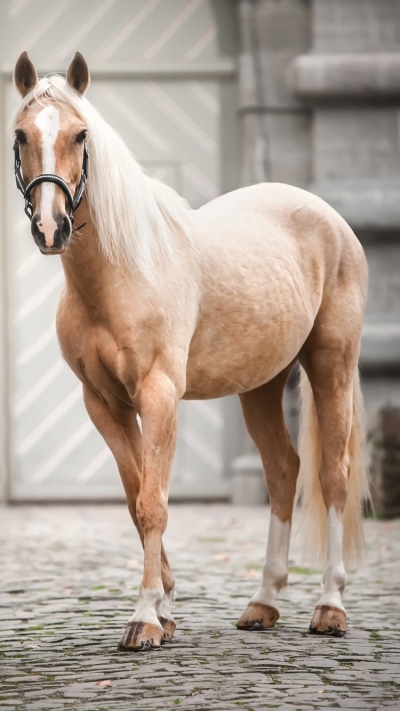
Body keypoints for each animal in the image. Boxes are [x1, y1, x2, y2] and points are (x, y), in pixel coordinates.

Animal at [13, 51, 369, 652]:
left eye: (81, 134)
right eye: (19, 135)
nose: (50, 227)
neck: (123, 273)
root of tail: (329, 216)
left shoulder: (158, 395)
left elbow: (154, 502)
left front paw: (145, 618)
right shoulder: (103, 403)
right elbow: (135, 498)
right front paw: (166, 605)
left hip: (331, 365)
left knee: (332, 476)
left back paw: (330, 606)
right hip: (261, 386)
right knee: (283, 470)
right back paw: (263, 603)